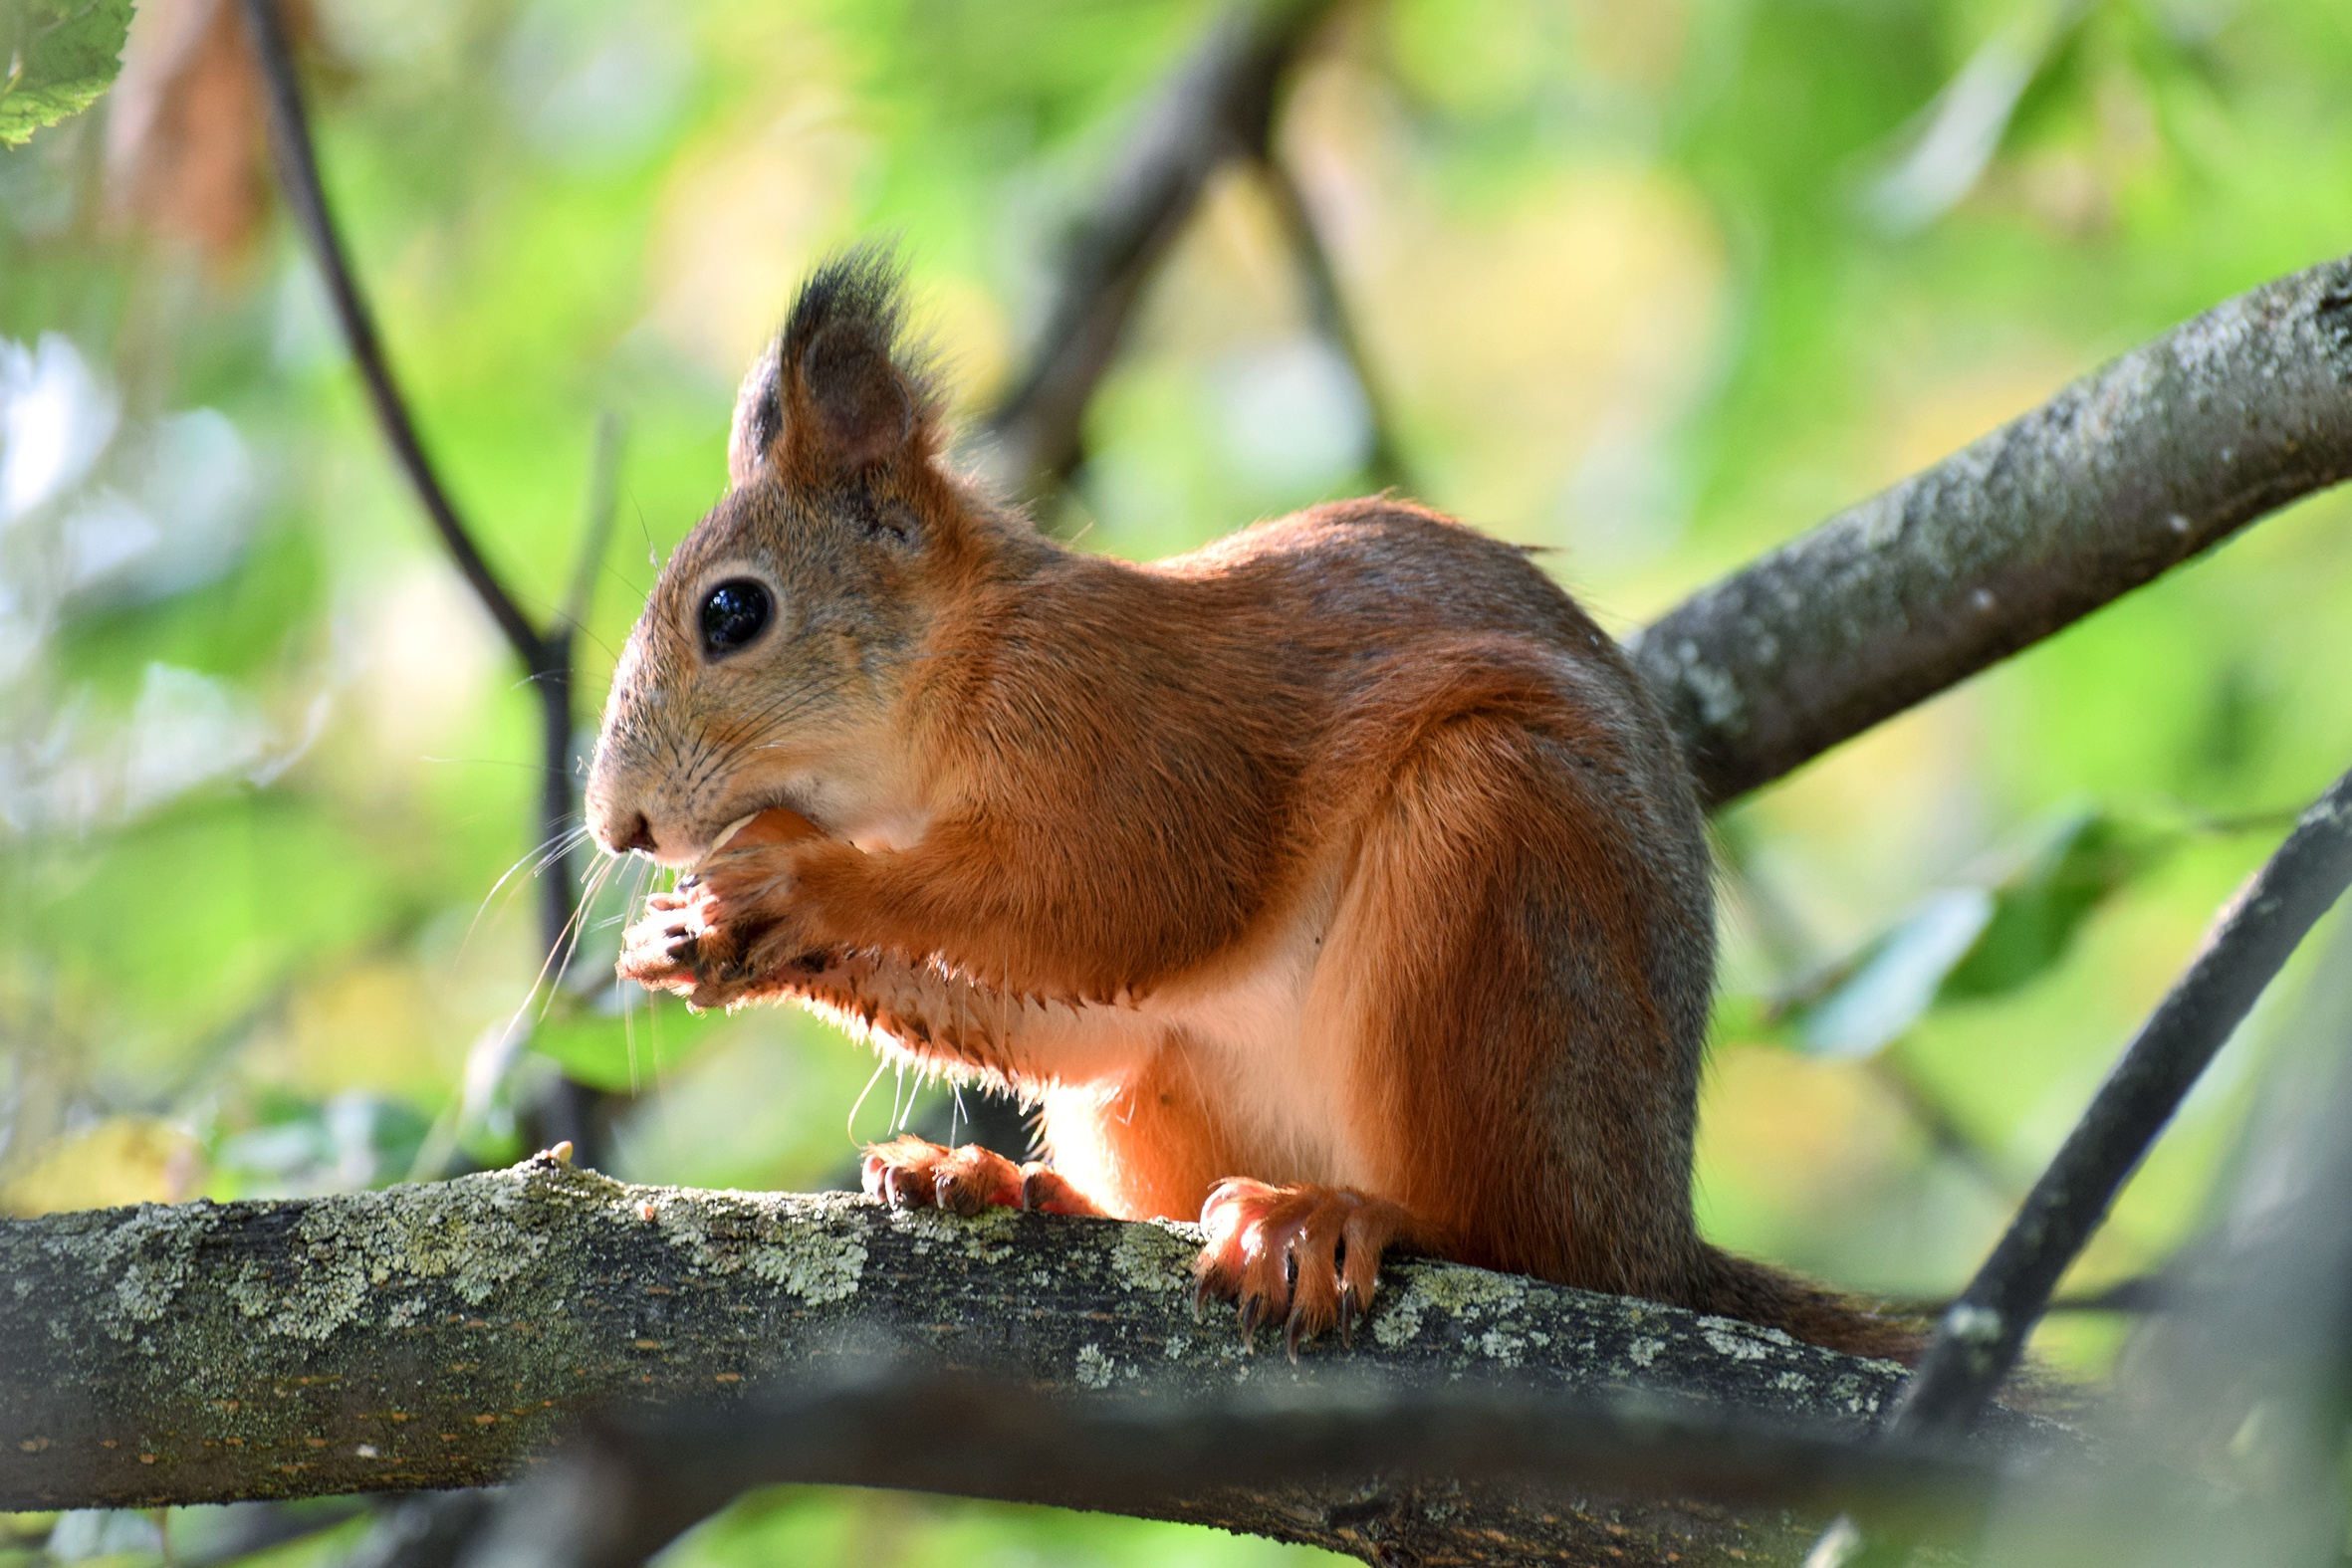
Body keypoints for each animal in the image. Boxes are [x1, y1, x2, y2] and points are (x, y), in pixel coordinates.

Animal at [583, 255, 1909, 1363]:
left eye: (733, 613)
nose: (617, 827)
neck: (952, 682)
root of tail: (1653, 1234)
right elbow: (1071, 1009)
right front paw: (692, 935)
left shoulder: (1137, 745)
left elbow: (1118, 905)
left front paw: (791, 877)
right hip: (1169, 1088)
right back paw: (1001, 1181)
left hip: (1498, 854)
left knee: (1514, 1239)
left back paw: (1331, 1216)